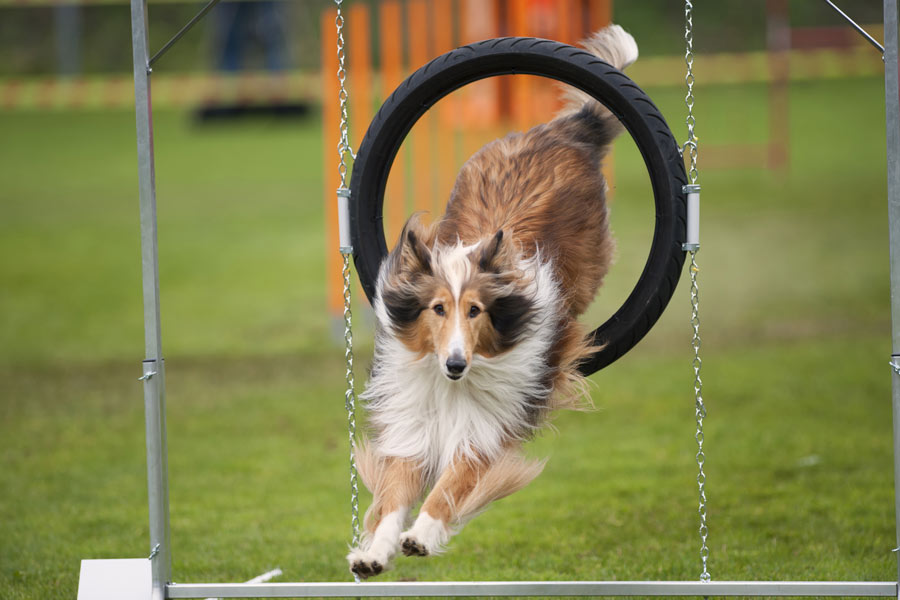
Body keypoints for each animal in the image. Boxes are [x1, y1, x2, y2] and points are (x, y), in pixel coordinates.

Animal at [346, 24, 640, 576]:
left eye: (476, 311)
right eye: (437, 309)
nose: (456, 364)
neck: (453, 386)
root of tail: (563, 132)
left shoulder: (486, 424)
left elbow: (453, 483)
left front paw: (423, 534)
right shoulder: (413, 422)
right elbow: (394, 491)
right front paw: (374, 552)